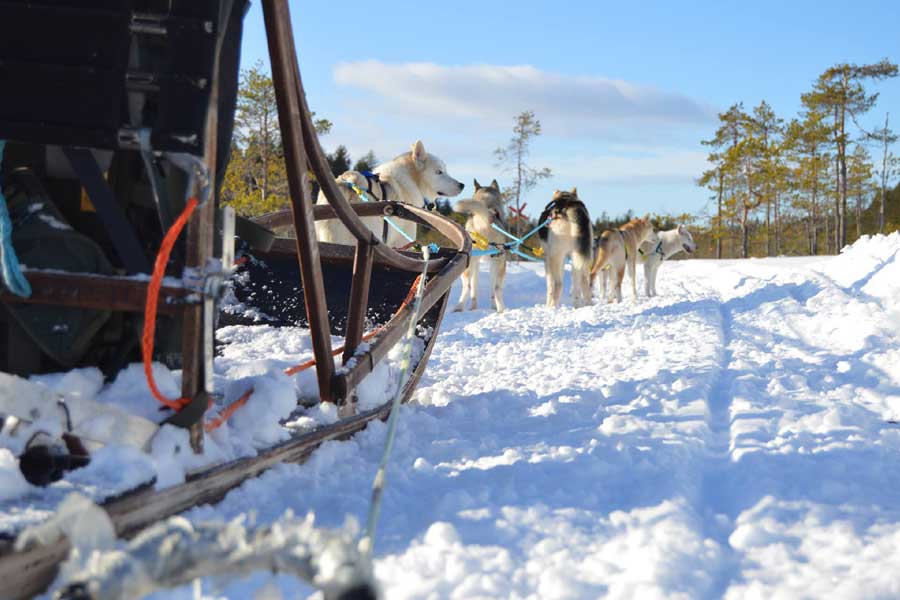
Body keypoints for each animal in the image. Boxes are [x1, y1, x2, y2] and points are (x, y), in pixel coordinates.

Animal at [454, 179, 510, 312]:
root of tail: (486, 219)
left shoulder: (478, 263)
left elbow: (475, 289)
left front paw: (474, 307)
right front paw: (493, 306)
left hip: (469, 265)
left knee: (468, 286)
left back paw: (459, 308)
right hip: (500, 263)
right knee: (496, 288)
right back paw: (501, 309)